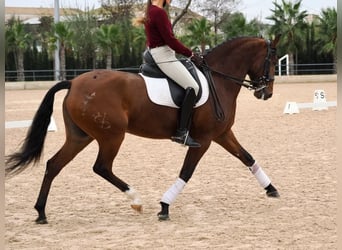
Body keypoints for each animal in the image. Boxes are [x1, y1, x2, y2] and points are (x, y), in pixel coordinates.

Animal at [6, 35, 280, 223]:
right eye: (272, 61)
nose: (266, 93)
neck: (218, 80)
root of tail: (73, 83)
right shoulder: (203, 139)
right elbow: (186, 172)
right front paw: (165, 206)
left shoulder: (221, 134)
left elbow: (247, 157)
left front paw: (271, 189)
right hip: (112, 136)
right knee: (101, 167)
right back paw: (135, 200)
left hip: (80, 137)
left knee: (54, 165)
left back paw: (41, 212)